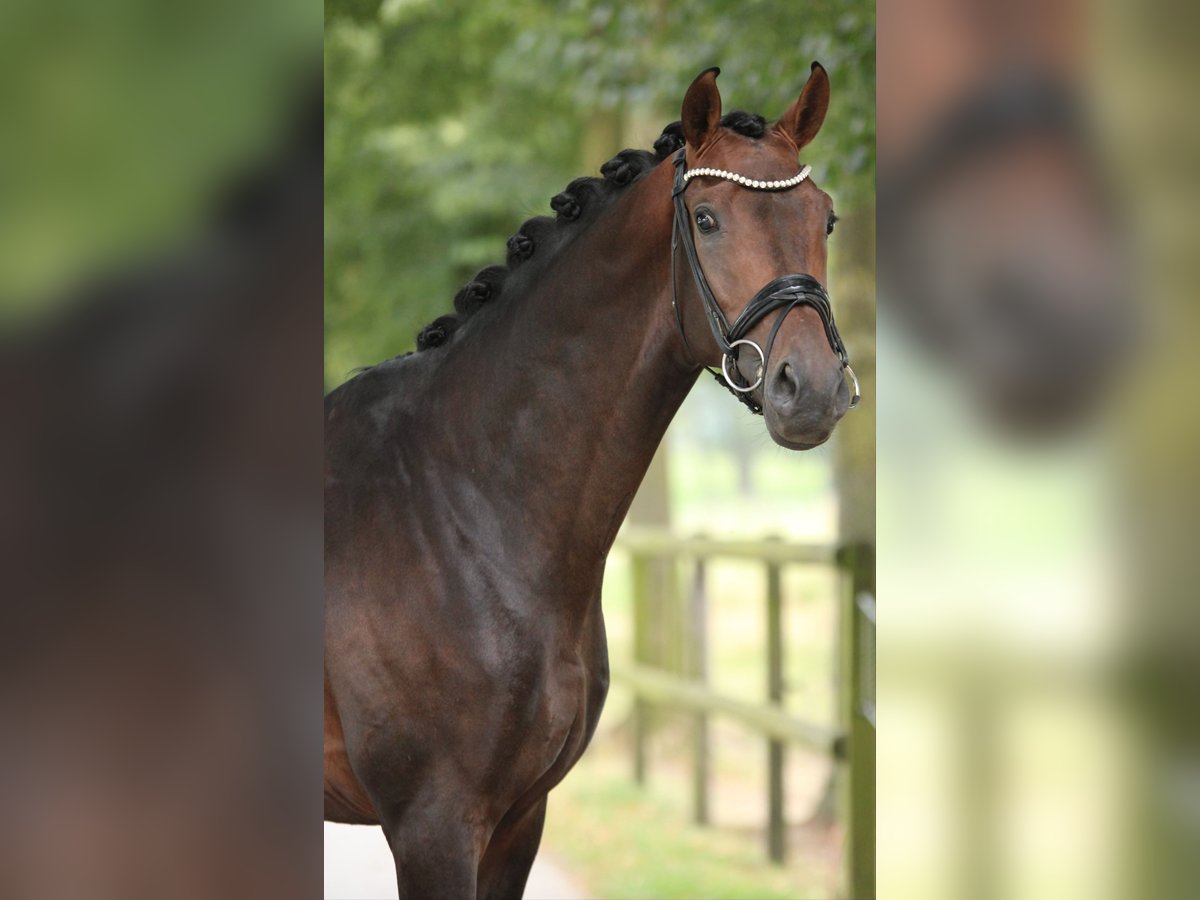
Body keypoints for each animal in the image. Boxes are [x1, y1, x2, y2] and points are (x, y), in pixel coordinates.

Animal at [324, 65, 859, 900]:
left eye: (826, 218)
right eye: (706, 218)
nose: (811, 390)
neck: (461, 505)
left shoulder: (519, 820)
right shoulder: (431, 826)